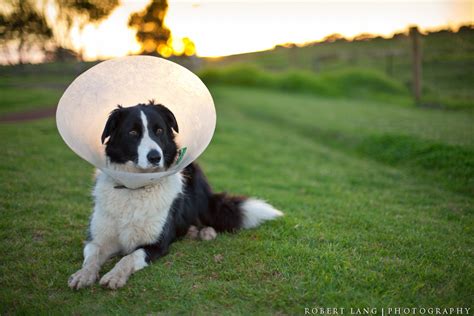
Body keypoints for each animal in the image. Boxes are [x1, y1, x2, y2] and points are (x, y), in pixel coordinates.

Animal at [68, 100, 284, 288]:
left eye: (159, 131)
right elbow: (92, 257)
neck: (135, 188)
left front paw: (114, 275)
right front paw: (83, 275)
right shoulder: (97, 239)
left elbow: (129, 257)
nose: (155, 157)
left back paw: (205, 232)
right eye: (133, 132)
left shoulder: (156, 244)